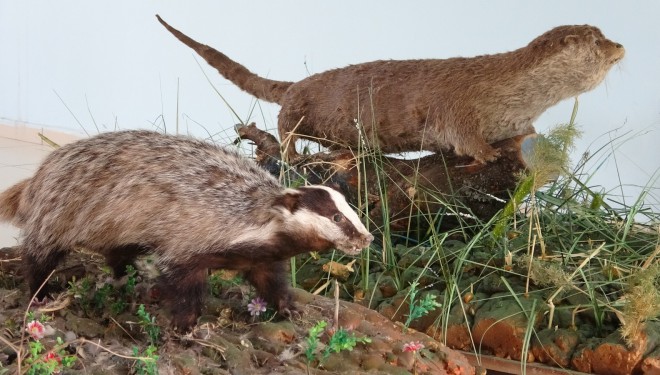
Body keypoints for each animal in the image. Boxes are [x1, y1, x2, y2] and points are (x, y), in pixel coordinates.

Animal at [0, 131, 372, 330]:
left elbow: (269, 278)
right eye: (337, 219)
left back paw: (128, 274)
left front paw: (290, 308)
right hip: (61, 210)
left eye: (351, 212)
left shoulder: (262, 253)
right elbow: (183, 279)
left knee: (120, 251)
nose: (366, 237)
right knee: (41, 253)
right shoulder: (187, 236)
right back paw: (41, 291)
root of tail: (41, 172)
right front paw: (186, 322)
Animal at [156, 16, 624, 163]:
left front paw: (523, 140)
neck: (506, 89)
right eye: (598, 40)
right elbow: (463, 136)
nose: (621, 46)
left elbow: (523, 133)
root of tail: (296, 84)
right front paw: (486, 153)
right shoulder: (459, 104)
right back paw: (293, 156)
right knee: (284, 127)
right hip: (296, 107)